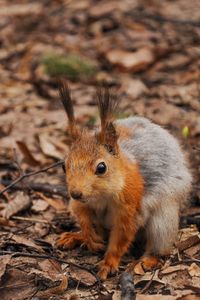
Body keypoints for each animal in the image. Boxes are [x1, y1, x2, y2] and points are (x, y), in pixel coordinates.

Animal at [56, 81, 192, 280]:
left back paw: (147, 260)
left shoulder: (130, 208)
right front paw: (88, 237)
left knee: (159, 245)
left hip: (163, 220)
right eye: (64, 166)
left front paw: (109, 263)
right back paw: (76, 236)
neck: (100, 196)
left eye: (101, 167)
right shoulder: (80, 203)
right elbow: (82, 216)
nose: (75, 193)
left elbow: (121, 237)